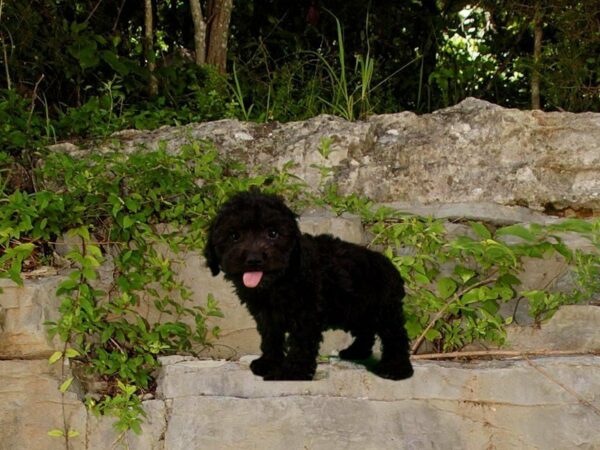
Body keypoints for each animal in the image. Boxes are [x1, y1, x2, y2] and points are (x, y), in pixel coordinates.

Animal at [204, 190, 414, 380]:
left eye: (273, 234)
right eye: (234, 236)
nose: (254, 259)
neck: (281, 279)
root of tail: (389, 265)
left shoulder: (306, 314)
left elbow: (300, 343)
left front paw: (292, 372)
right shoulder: (267, 315)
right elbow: (271, 338)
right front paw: (268, 363)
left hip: (383, 311)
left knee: (396, 336)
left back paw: (396, 369)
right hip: (357, 311)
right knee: (366, 331)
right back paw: (356, 352)